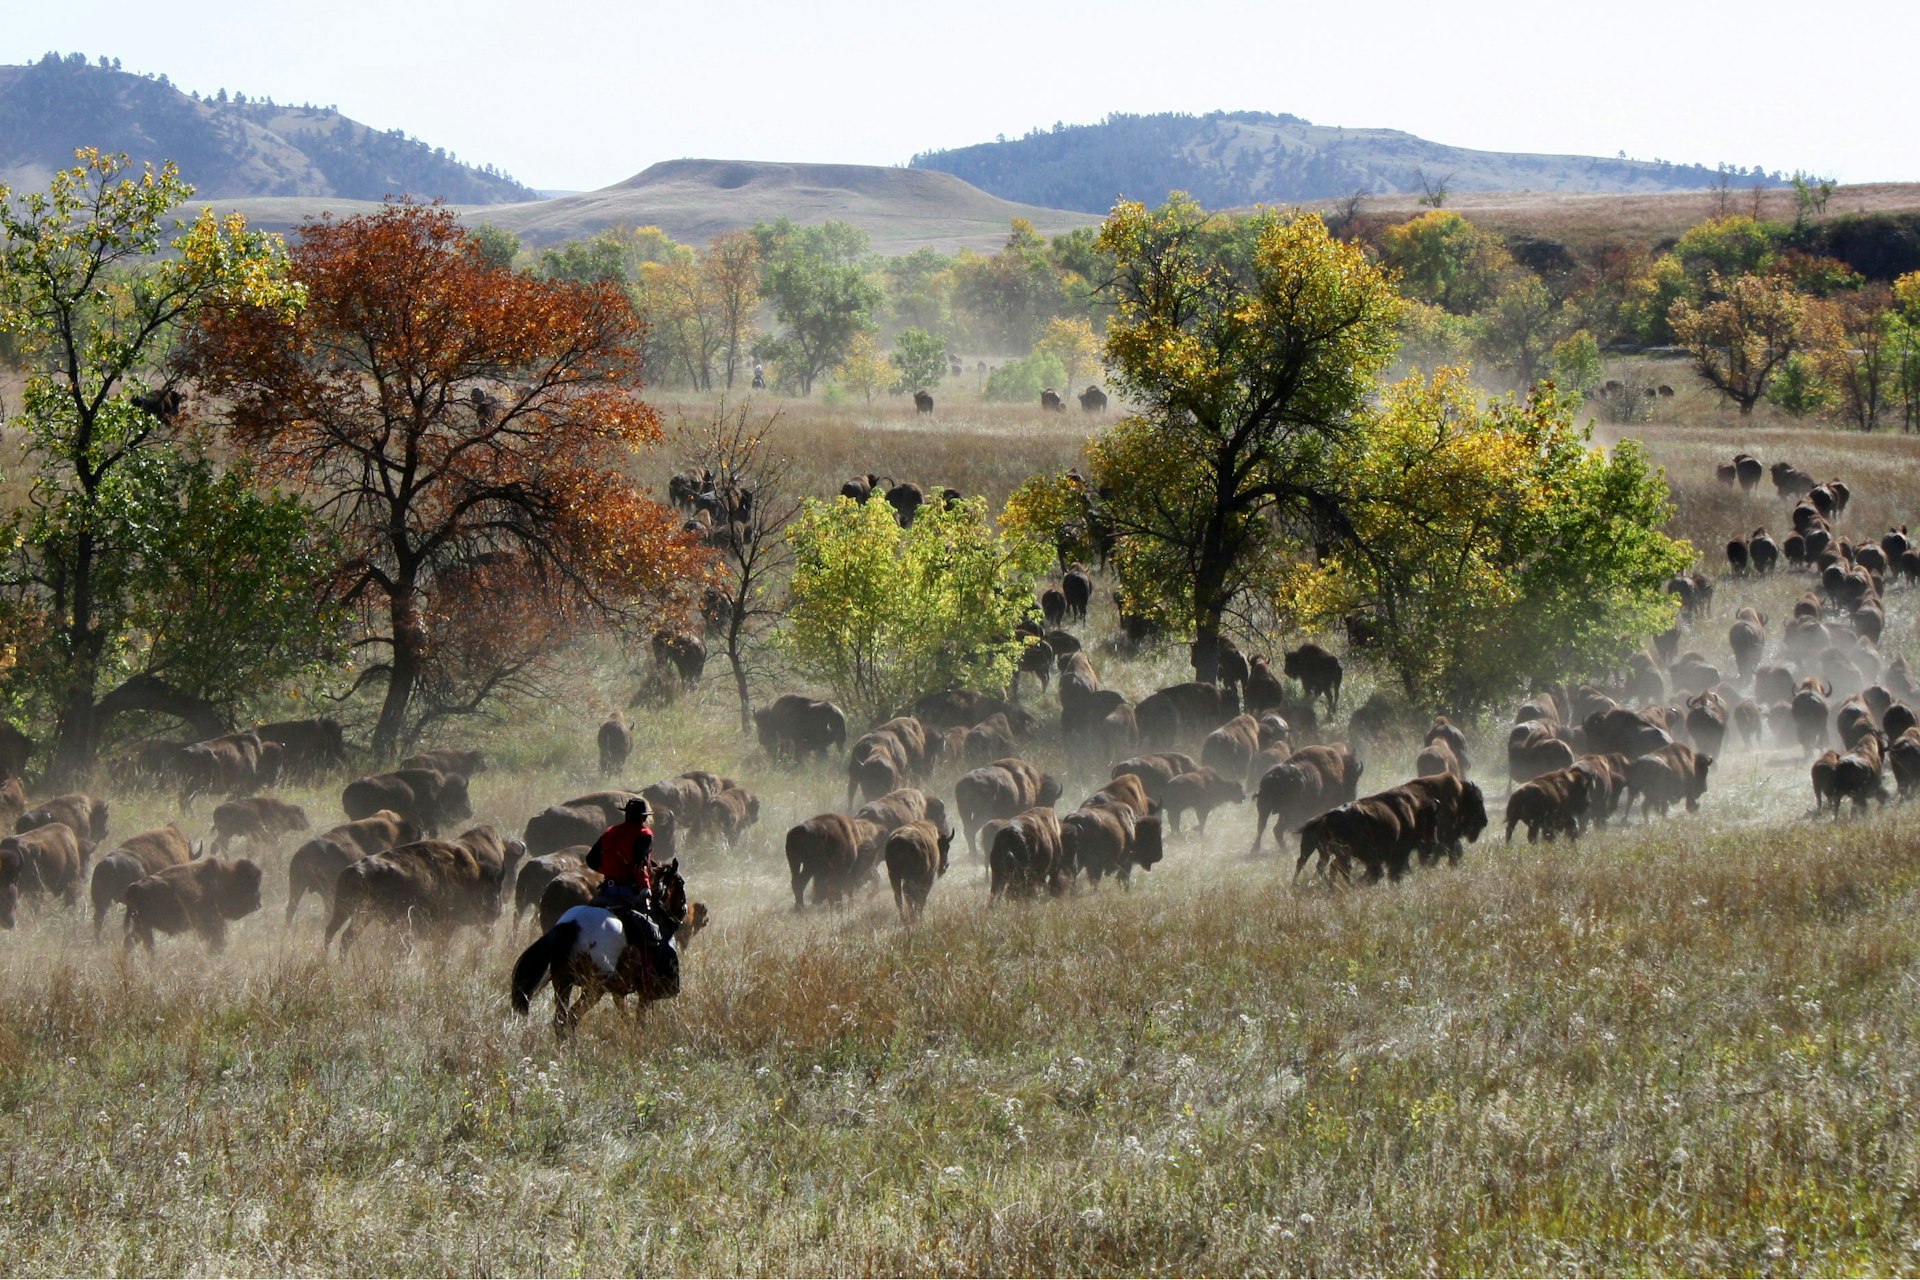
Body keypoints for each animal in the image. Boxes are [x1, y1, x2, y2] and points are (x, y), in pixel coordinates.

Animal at [506, 855, 695, 1036]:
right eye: (680, 882)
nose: (683, 910)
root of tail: (573, 924)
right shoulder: (644, 992)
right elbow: (640, 1018)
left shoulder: (618, 991)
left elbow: (626, 1016)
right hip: (593, 989)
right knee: (572, 1017)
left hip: (563, 982)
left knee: (560, 1020)